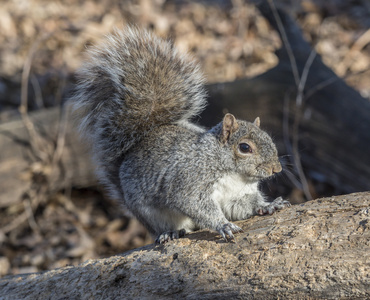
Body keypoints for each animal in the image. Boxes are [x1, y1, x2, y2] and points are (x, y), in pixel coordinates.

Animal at [71, 26, 290, 244]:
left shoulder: (238, 196)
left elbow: (245, 206)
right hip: (152, 215)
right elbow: (195, 204)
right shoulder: (190, 181)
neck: (234, 174)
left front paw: (269, 205)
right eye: (245, 147)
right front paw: (224, 225)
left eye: (269, 138)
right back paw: (171, 232)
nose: (276, 169)